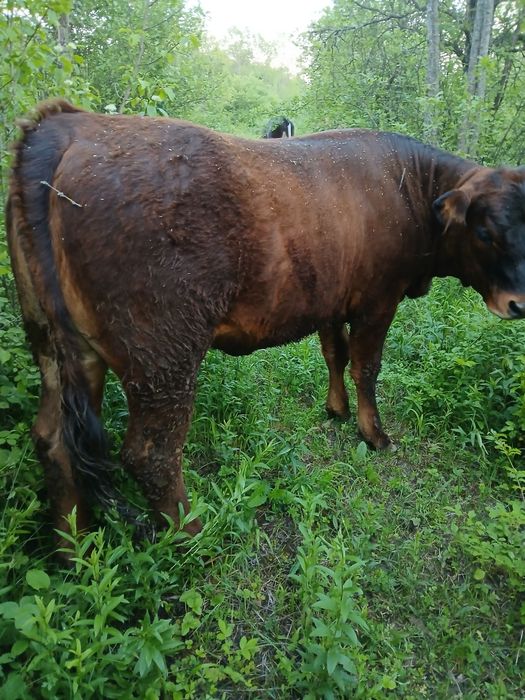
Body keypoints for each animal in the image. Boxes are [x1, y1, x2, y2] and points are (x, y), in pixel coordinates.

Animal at [6, 100, 525, 549]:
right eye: (484, 231)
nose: (518, 302)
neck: (411, 188)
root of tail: (71, 124)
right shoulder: (378, 302)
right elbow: (367, 367)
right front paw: (373, 434)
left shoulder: (330, 301)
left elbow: (335, 355)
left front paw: (335, 409)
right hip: (163, 358)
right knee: (152, 455)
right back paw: (195, 538)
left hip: (57, 347)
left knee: (54, 442)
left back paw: (73, 549)